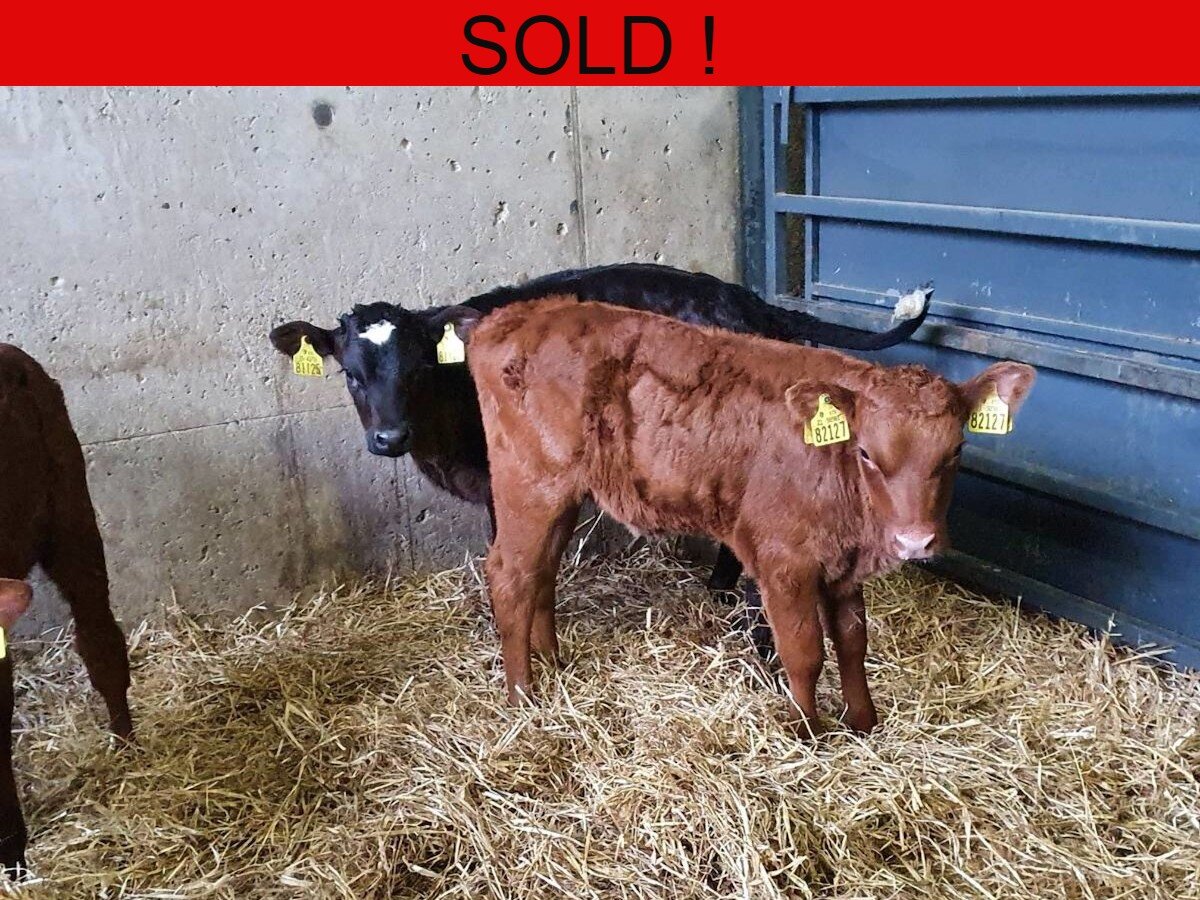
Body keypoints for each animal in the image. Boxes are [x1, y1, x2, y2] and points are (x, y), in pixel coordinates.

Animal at [463, 297, 1035, 736]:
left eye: (957, 450)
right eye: (867, 453)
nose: (915, 541)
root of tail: (514, 314)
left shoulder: (843, 565)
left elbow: (853, 641)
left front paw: (864, 723)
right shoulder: (783, 561)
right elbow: (804, 651)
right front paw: (808, 733)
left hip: (560, 495)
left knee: (542, 570)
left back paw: (553, 664)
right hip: (529, 484)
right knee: (510, 575)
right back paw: (523, 696)